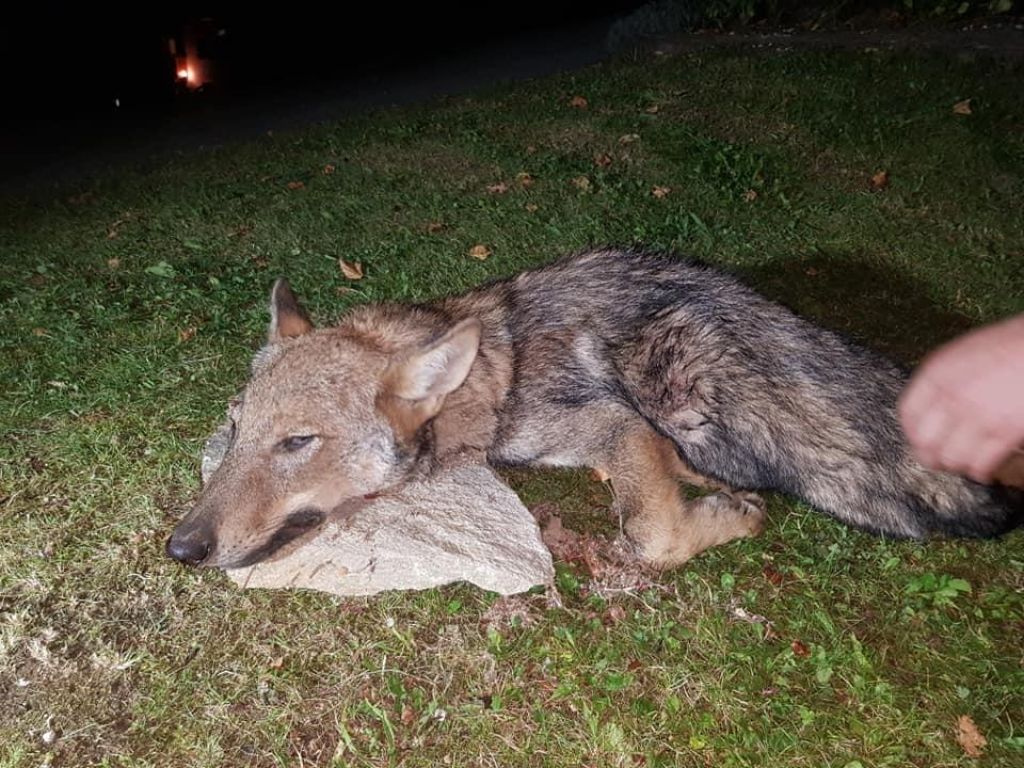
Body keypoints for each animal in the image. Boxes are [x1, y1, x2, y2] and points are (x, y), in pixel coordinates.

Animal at [163, 249, 1019, 569]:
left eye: (297, 442)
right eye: (236, 428)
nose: (181, 547)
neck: (494, 378)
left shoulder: (619, 424)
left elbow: (650, 534)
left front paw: (722, 518)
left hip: (684, 391)